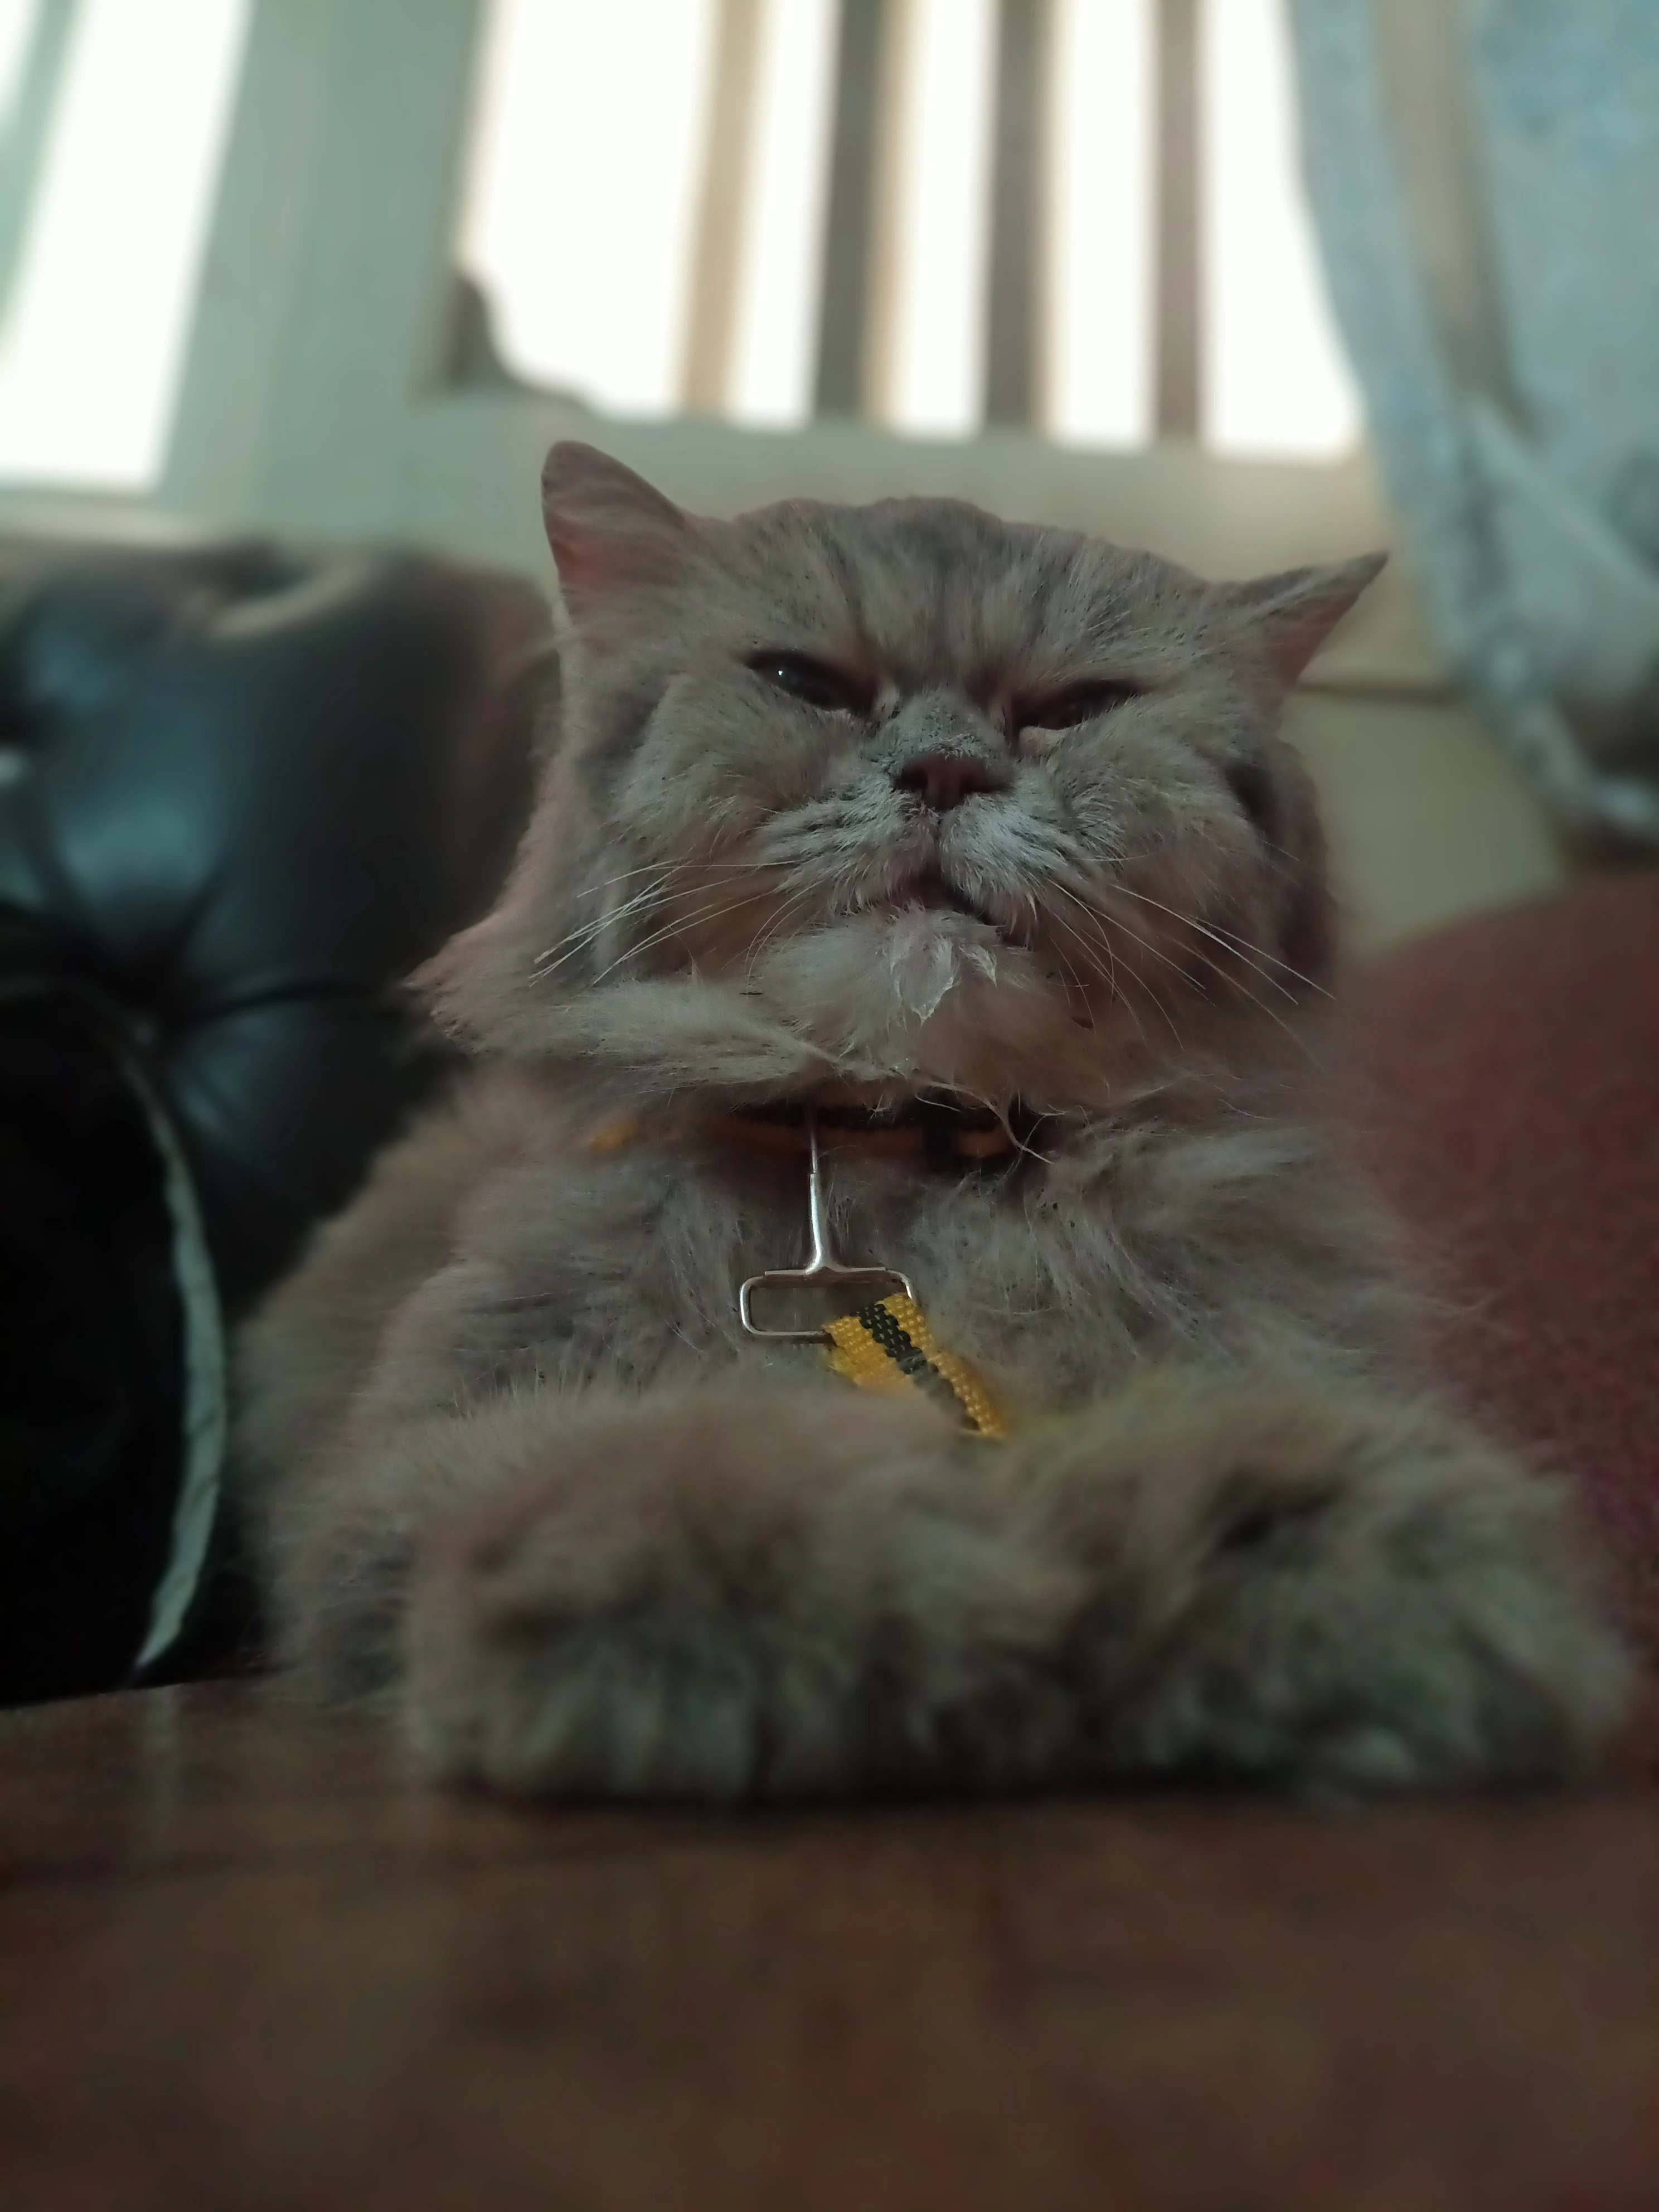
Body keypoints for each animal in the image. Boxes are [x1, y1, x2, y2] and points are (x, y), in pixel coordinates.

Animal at [236, 444, 1637, 1796]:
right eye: (805, 682)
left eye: (1076, 708)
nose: (946, 771)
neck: (905, 1153)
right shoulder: (422, 1464)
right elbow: (672, 1475)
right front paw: (901, 1590)